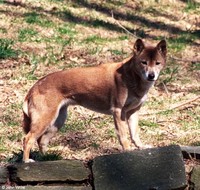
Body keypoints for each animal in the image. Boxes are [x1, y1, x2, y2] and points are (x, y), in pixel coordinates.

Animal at [21, 39, 166, 163]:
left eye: (157, 63)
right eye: (144, 62)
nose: (151, 76)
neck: (132, 77)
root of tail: (34, 87)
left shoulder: (133, 112)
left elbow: (135, 134)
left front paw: (141, 147)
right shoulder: (118, 111)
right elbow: (123, 136)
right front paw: (127, 151)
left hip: (57, 121)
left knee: (41, 141)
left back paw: (47, 159)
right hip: (45, 120)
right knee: (28, 139)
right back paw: (27, 161)